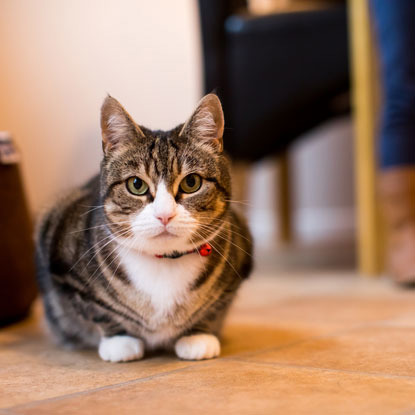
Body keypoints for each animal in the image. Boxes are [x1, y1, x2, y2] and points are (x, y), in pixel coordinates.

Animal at [35, 92, 254, 362]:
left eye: (191, 182)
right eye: (136, 185)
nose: (164, 215)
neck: (165, 261)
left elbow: (215, 307)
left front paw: (198, 336)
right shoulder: (60, 256)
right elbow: (96, 310)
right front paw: (119, 341)